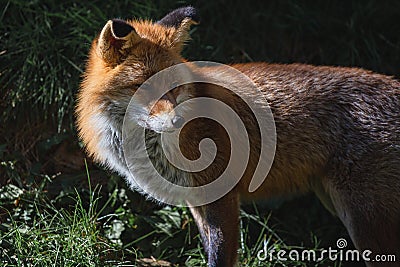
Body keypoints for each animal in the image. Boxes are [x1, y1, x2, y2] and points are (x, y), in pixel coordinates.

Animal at [76, 6, 400, 267]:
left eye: (176, 86)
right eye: (144, 85)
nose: (178, 120)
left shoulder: (222, 195)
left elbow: (220, 257)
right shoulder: (196, 202)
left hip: (363, 220)